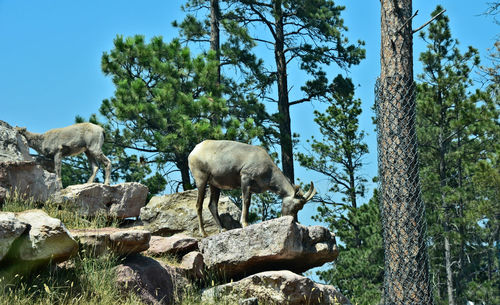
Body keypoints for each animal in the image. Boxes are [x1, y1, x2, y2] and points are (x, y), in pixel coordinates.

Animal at [188, 139, 316, 236]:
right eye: (297, 205)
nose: (291, 219)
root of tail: (194, 150)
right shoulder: (245, 179)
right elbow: (246, 201)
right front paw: (245, 224)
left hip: (214, 185)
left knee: (212, 205)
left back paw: (223, 229)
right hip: (201, 180)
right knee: (199, 205)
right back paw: (203, 233)